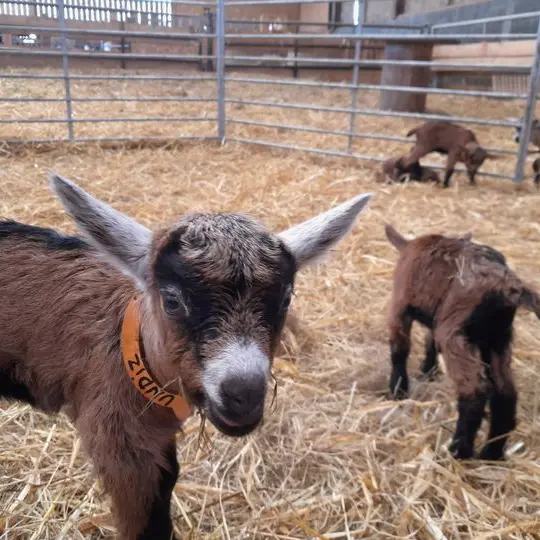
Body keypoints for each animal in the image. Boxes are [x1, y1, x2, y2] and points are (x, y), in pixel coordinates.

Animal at [384, 224, 540, 460]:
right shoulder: (437, 319)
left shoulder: (400, 306)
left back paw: (458, 451)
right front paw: (428, 370)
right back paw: (491, 453)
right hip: (498, 339)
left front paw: (398, 390)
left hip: (455, 334)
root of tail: (507, 286)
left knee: (474, 392)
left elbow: (399, 349)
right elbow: (430, 341)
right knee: (506, 393)